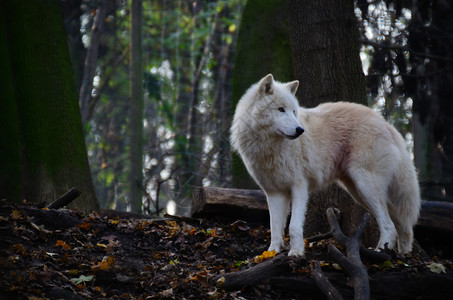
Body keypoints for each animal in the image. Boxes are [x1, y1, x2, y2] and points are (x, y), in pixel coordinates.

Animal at [230, 74, 420, 256]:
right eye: (280, 109)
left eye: (293, 111)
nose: (300, 130)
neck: (270, 147)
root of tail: (386, 123)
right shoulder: (274, 192)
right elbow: (275, 228)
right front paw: (271, 253)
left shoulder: (299, 186)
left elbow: (293, 226)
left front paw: (296, 252)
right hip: (359, 191)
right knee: (400, 224)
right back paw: (402, 253)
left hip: (366, 186)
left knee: (389, 225)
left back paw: (381, 251)